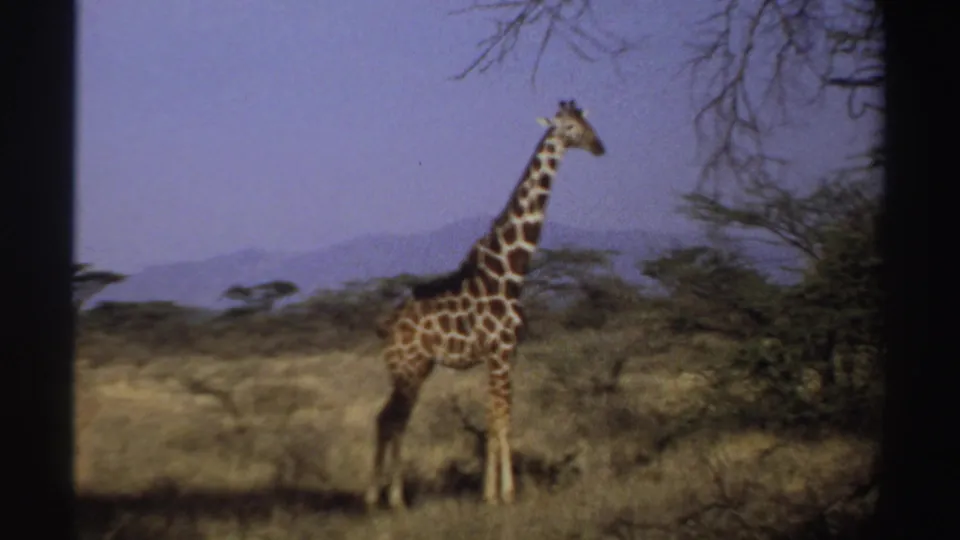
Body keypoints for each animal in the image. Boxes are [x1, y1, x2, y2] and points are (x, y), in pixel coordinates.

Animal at [365, 100, 606, 509]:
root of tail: (385, 326)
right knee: (390, 420)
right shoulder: (502, 350)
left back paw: (386, 498)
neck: (509, 273)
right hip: (408, 369)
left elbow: (493, 420)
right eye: (568, 127)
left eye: (587, 122)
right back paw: (384, 497)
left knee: (391, 419)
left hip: (416, 368)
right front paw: (507, 493)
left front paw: (488, 493)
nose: (599, 146)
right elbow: (504, 419)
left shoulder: (501, 355)